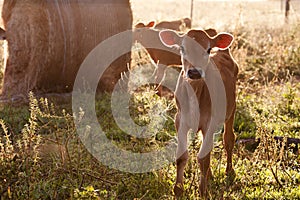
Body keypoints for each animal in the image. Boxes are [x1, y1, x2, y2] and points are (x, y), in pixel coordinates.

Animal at [159, 28, 239, 198]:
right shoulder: (180, 119)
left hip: (231, 109)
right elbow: (181, 156)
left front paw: (203, 192)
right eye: (182, 48)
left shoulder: (210, 121)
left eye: (208, 50)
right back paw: (209, 176)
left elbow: (203, 159)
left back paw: (229, 171)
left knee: (228, 139)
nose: (194, 72)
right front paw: (178, 190)